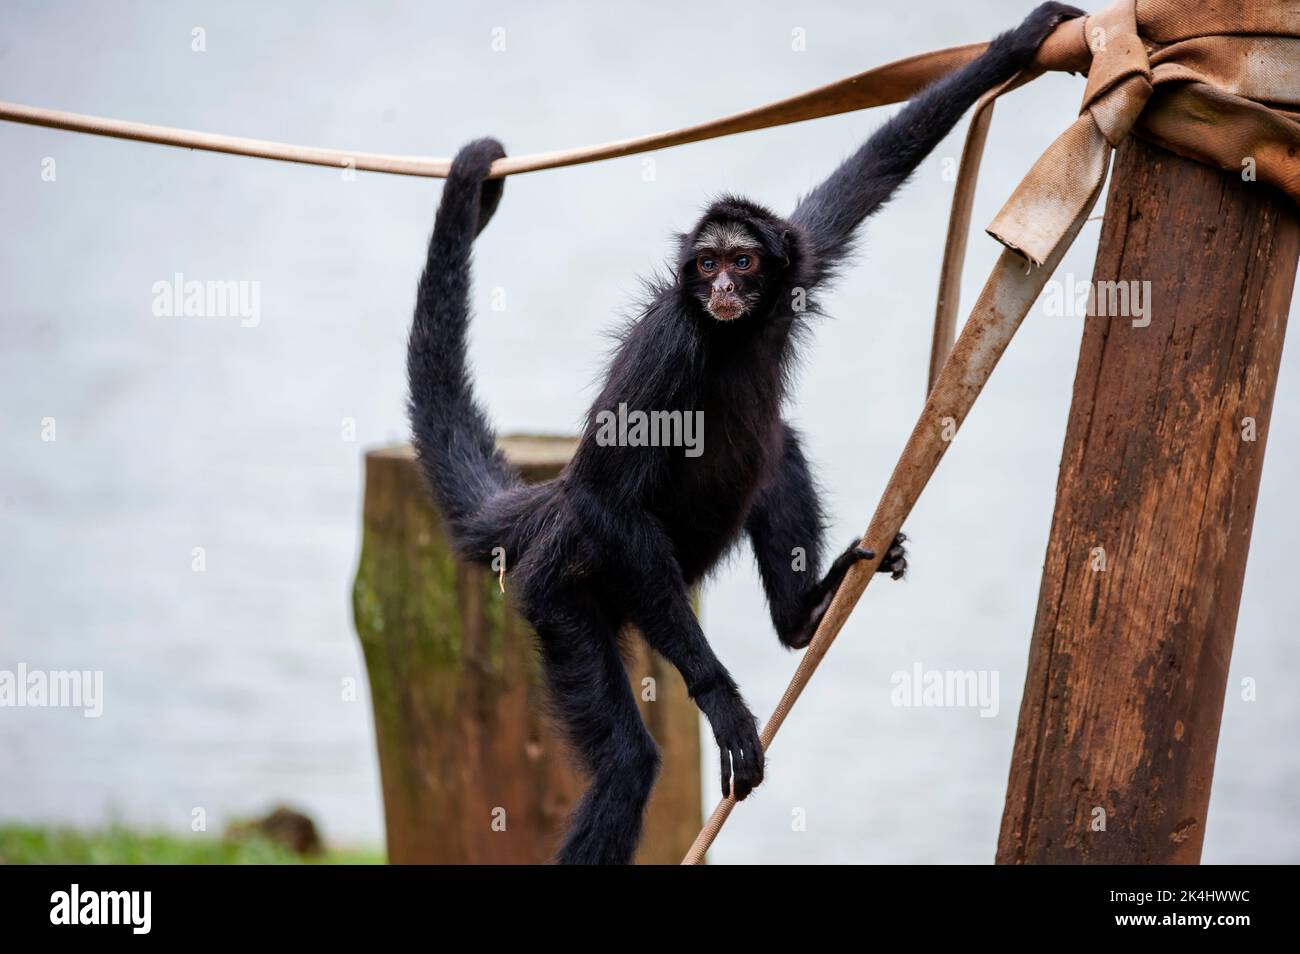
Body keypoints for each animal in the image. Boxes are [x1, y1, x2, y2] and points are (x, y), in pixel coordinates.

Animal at [407, 2, 1085, 864]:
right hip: (564, 591)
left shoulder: (800, 259)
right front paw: (721, 700)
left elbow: (862, 182)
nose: (723, 286)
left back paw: (802, 616)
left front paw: (1018, 42)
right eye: (705, 266)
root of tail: (543, 510)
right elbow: (609, 495)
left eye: (742, 261)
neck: (726, 337)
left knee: (774, 448)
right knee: (626, 759)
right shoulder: (669, 344)